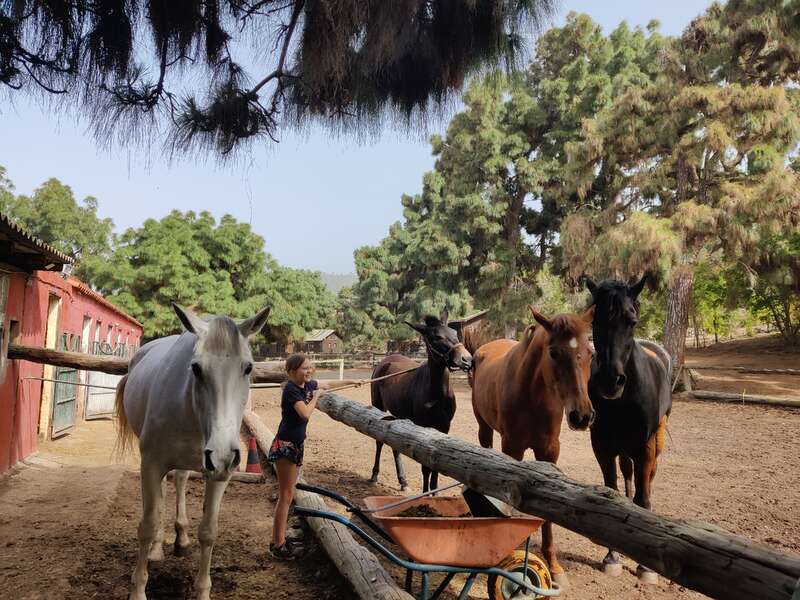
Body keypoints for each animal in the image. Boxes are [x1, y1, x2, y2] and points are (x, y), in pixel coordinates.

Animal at [115, 303, 270, 600]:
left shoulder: (220, 474)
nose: (222, 454)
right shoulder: (151, 464)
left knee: (180, 480)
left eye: (248, 367)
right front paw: (138, 589)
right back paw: (156, 550)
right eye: (196, 368)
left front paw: (202, 591)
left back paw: (181, 538)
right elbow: (147, 525)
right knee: (163, 495)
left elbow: (208, 532)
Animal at [369, 310, 473, 492]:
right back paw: (375, 475)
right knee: (379, 441)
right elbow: (425, 467)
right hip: (379, 407)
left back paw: (403, 481)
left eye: (454, 333)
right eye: (437, 337)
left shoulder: (444, 427)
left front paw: (434, 492)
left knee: (394, 445)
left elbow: (436, 465)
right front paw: (425, 493)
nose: (467, 359)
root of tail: (384, 361)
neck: (437, 395)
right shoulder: (424, 427)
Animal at [470, 305, 596, 587]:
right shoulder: (512, 448)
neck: (533, 396)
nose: (581, 416)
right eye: (553, 352)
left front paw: (555, 567)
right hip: (484, 428)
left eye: (591, 353)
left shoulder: (549, 451)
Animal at [585, 276, 672, 584]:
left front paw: (646, 567)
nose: (611, 381)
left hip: (655, 441)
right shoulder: (602, 446)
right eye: (595, 321)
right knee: (628, 476)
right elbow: (613, 494)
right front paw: (612, 555)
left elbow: (643, 498)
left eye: (631, 321)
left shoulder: (644, 447)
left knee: (649, 479)